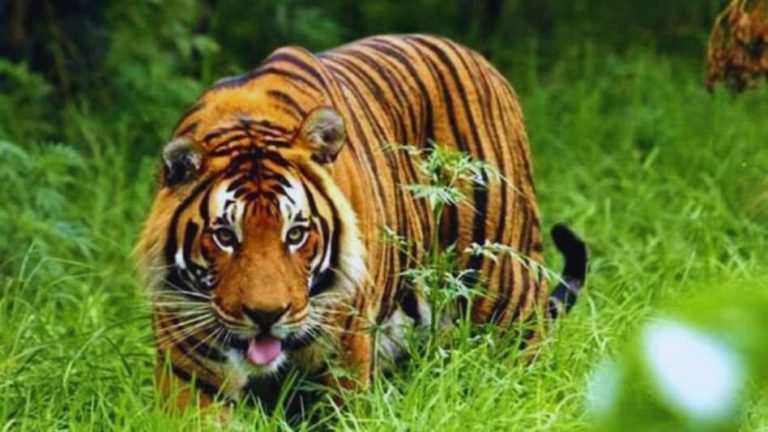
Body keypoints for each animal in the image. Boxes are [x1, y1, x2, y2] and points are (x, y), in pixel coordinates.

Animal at [137, 34, 588, 413]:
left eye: (296, 234)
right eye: (225, 236)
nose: (267, 315)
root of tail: (482, 61)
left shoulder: (342, 362)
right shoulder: (191, 379)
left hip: (504, 290)